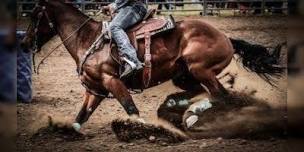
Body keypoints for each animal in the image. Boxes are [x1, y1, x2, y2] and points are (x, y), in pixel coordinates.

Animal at [22, 0, 284, 131]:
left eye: (35, 15)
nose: (24, 43)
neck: (87, 39)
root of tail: (226, 37)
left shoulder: (112, 81)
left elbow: (131, 109)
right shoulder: (95, 89)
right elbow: (80, 118)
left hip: (200, 69)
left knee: (221, 95)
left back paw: (192, 116)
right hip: (184, 75)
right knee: (206, 92)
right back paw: (178, 107)